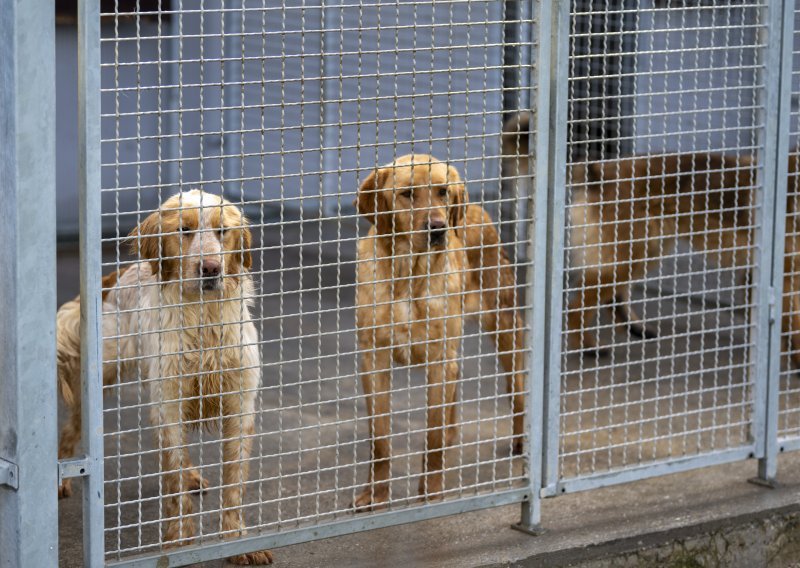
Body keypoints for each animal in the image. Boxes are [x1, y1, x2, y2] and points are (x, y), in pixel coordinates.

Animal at [57, 190, 272, 564]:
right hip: (101, 378)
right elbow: (172, 477)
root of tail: (117, 276)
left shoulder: (240, 405)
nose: (210, 268)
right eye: (184, 230)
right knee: (72, 428)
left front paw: (237, 540)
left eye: (223, 231)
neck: (203, 320)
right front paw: (179, 539)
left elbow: (234, 481)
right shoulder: (168, 403)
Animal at [354, 155, 528, 510]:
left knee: (516, 385)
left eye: (443, 192)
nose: (438, 229)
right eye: (407, 193)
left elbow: (431, 438)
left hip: (502, 319)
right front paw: (376, 494)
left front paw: (431, 492)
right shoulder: (373, 360)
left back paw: (520, 440)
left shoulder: (438, 359)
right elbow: (380, 439)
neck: (408, 274)